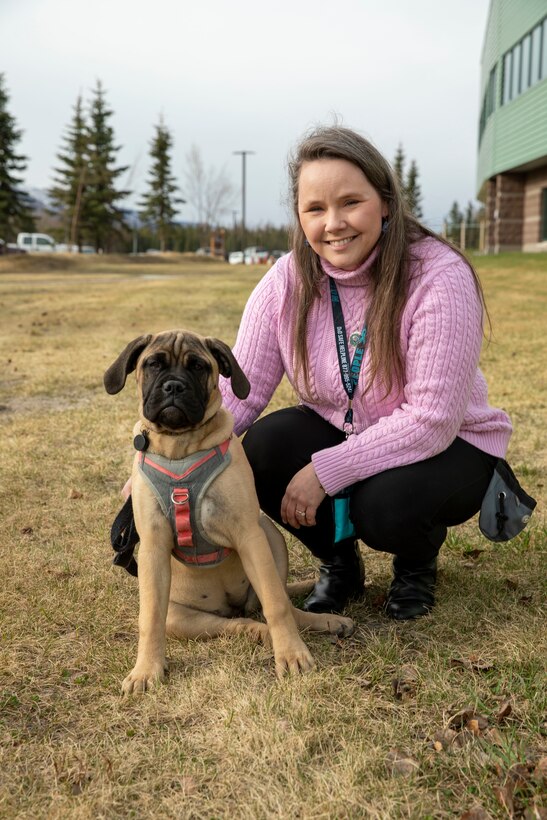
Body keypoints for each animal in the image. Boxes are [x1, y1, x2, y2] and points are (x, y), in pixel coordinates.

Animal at [105, 330, 356, 696]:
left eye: (198, 366)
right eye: (153, 364)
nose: (174, 387)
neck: (180, 448)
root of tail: (232, 603)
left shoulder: (249, 534)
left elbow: (277, 605)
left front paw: (292, 655)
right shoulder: (152, 547)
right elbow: (149, 619)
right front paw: (146, 671)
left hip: (269, 535)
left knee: (277, 604)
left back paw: (325, 622)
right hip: (182, 617)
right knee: (239, 623)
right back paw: (261, 634)